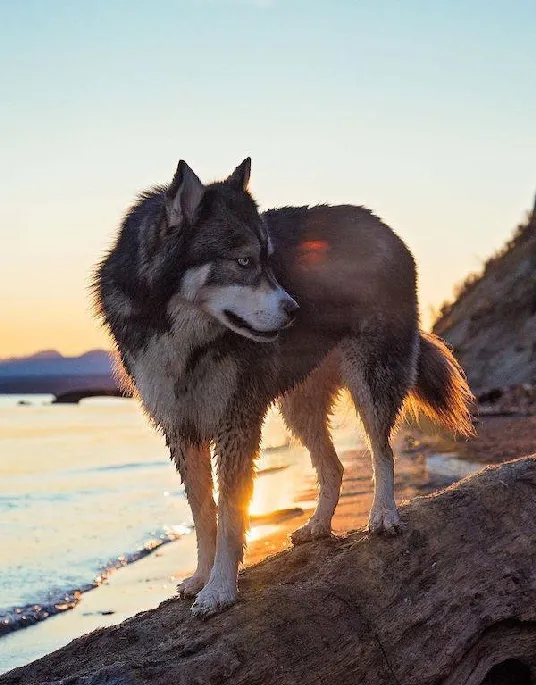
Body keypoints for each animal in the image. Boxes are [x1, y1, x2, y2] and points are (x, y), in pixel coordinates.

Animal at [93, 158, 474, 616]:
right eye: (243, 261)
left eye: (269, 260)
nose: (295, 309)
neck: (181, 335)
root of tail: (382, 226)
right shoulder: (181, 428)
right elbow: (203, 515)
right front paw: (202, 577)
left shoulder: (235, 421)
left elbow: (230, 515)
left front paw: (220, 590)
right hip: (298, 405)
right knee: (334, 466)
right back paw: (318, 526)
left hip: (371, 377)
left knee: (382, 450)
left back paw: (383, 515)